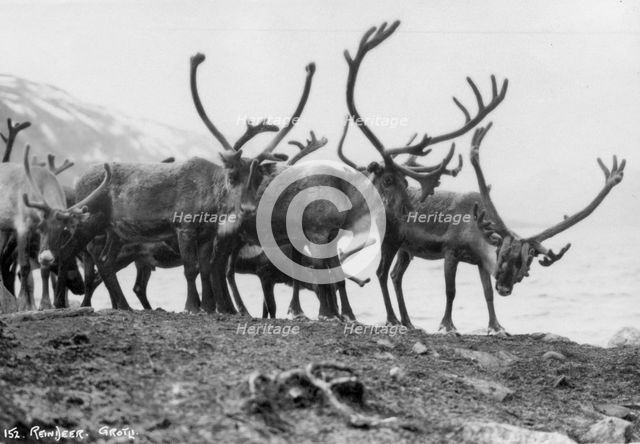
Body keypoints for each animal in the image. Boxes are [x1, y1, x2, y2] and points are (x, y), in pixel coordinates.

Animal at [25, 52, 317, 313]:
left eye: (258, 177)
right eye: (233, 176)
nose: (248, 209)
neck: (211, 197)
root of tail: (79, 179)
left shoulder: (206, 235)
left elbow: (206, 268)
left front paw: (209, 308)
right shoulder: (184, 228)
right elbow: (191, 269)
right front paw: (192, 307)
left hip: (117, 231)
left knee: (105, 263)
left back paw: (124, 306)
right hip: (90, 222)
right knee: (67, 253)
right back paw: (61, 304)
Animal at [387, 123, 626, 334]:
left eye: (525, 261)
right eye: (501, 255)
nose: (504, 288)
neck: (475, 232)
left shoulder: (478, 261)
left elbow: (487, 293)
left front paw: (496, 326)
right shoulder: (451, 251)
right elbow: (451, 291)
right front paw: (447, 326)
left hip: (406, 249)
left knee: (395, 275)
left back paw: (407, 322)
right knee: (394, 274)